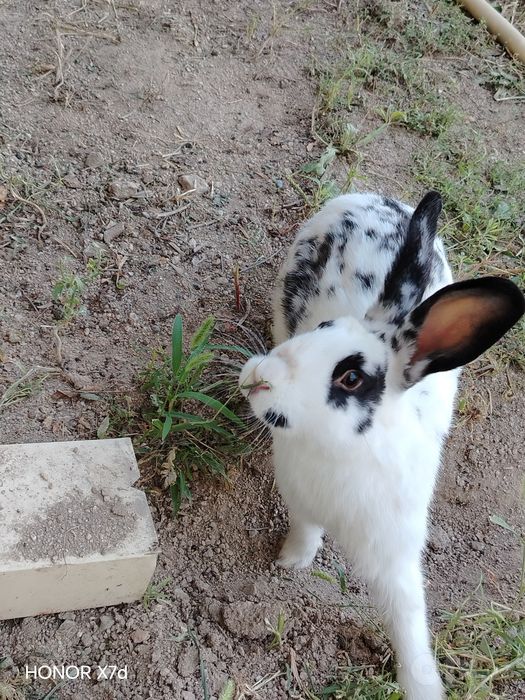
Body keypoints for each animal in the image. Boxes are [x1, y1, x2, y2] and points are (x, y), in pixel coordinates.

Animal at [239, 191, 525, 700]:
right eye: (324, 327)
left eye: (351, 377)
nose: (259, 376)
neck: (338, 453)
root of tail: (368, 195)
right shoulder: (301, 502)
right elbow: (304, 531)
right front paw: (292, 562)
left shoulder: (395, 553)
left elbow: (407, 620)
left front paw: (423, 686)